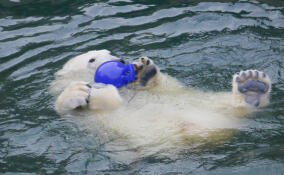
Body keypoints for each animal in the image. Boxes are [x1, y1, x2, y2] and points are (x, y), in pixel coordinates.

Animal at [50, 50, 272, 157]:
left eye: (109, 51)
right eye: (92, 59)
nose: (121, 60)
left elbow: (162, 86)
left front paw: (144, 70)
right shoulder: (88, 121)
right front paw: (79, 90)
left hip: (206, 102)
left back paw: (252, 86)